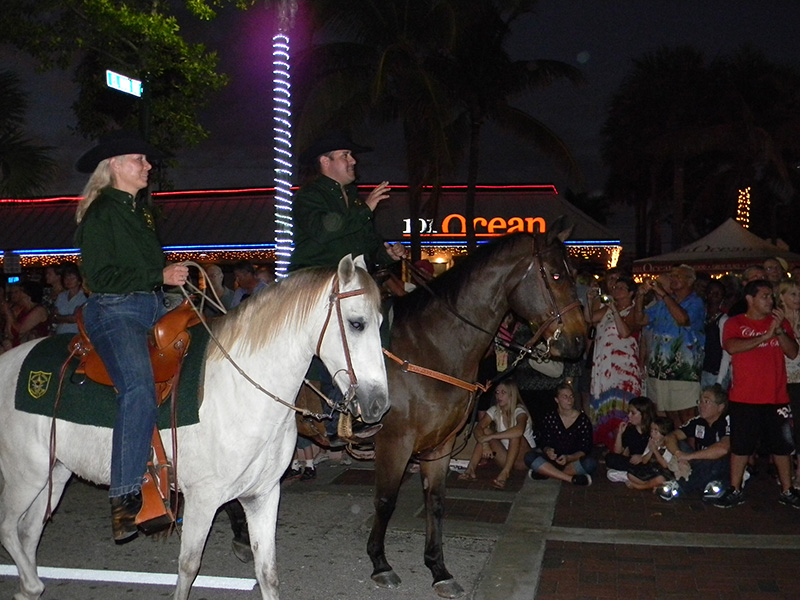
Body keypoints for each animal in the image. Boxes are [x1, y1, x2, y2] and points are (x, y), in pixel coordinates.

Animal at [0, 254, 390, 600]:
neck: (240, 388)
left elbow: (267, 573)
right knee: (9, 529)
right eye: (357, 323)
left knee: (29, 531)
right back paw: (30, 586)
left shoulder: (263, 496)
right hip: (25, 476)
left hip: (54, 472)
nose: (378, 404)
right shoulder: (203, 500)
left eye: (381, 321)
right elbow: (188, 568)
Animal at [368, 228, 587, 598]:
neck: (428, 347)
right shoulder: (394, 442)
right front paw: (380, 564)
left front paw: (438, 569)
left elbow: (435, 502)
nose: (580, 340)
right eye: (557, 275)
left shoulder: (440, 444)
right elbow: (386, 500)